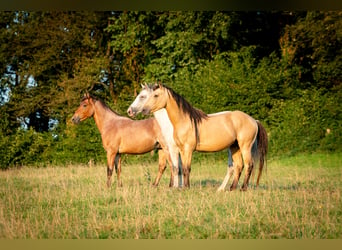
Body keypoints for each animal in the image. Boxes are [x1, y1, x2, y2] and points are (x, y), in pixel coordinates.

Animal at [139, 84, 268, 191]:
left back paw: (243, 188)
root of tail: (254, 120)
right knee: (239, 166)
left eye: (155, 95)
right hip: (234, 147)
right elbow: (181, 168)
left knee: (249, 165)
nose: (144, 110)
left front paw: (186, 187)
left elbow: (186, 168)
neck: (184, 121)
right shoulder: (181, 150)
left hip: (245, 147)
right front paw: (182, 187)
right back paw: (232, 188)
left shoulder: (188, 149)